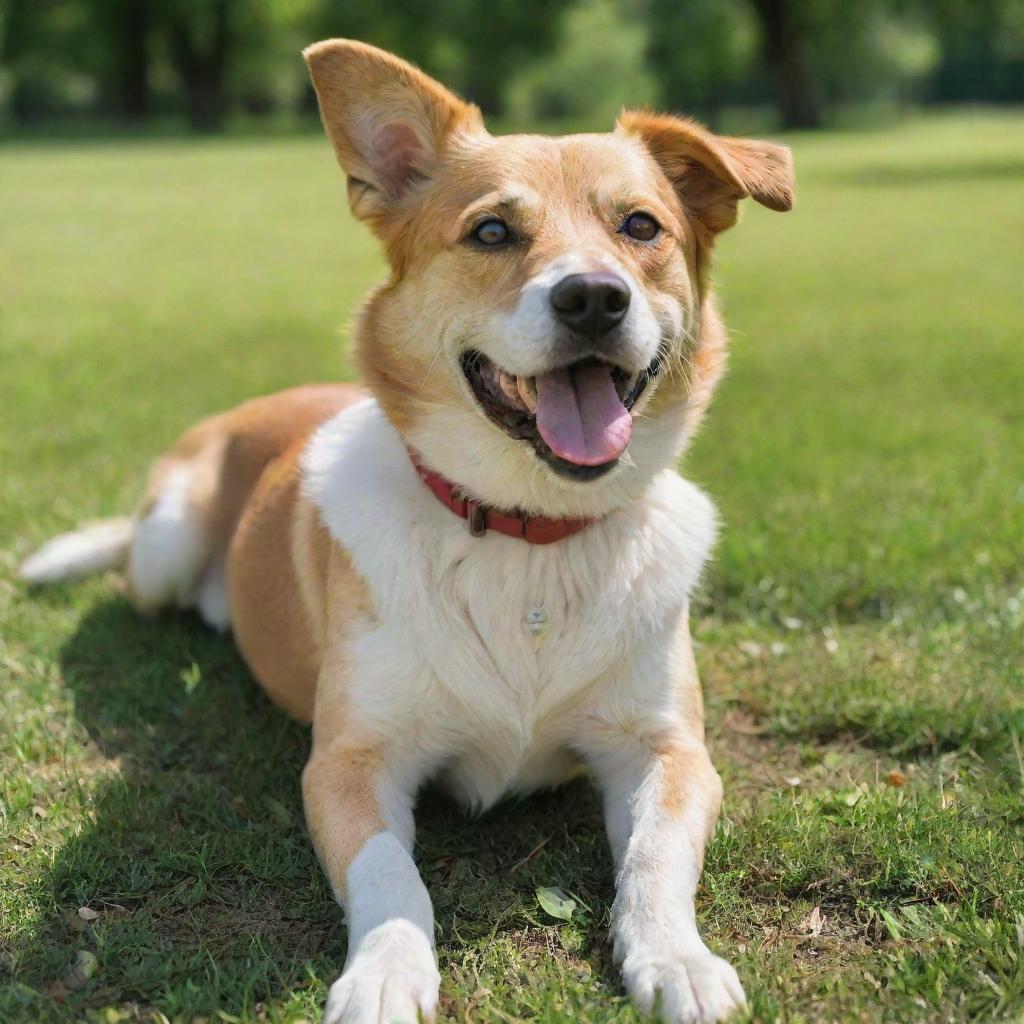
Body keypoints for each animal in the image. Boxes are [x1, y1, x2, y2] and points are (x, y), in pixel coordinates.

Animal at [19, 37, 794, 1024]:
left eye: (641, 226)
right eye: (492, 232)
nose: (593, 298)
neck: (525, 536)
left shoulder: (666, 750)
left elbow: (656, 858)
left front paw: (678, 959)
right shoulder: (349, 762)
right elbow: (390, 871)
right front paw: (387, 971)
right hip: (165, 545)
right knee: (132, 564)